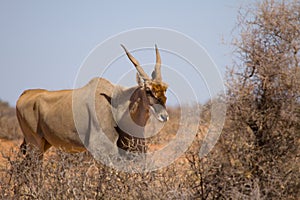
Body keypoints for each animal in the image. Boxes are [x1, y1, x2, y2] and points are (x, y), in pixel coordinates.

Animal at [15, 45, 169, 158]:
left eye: (165, 89)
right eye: (148, 90)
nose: (164, 116)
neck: (117, 107)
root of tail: (26, 94)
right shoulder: (101, 150)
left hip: (44, 144)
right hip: (34, 143)